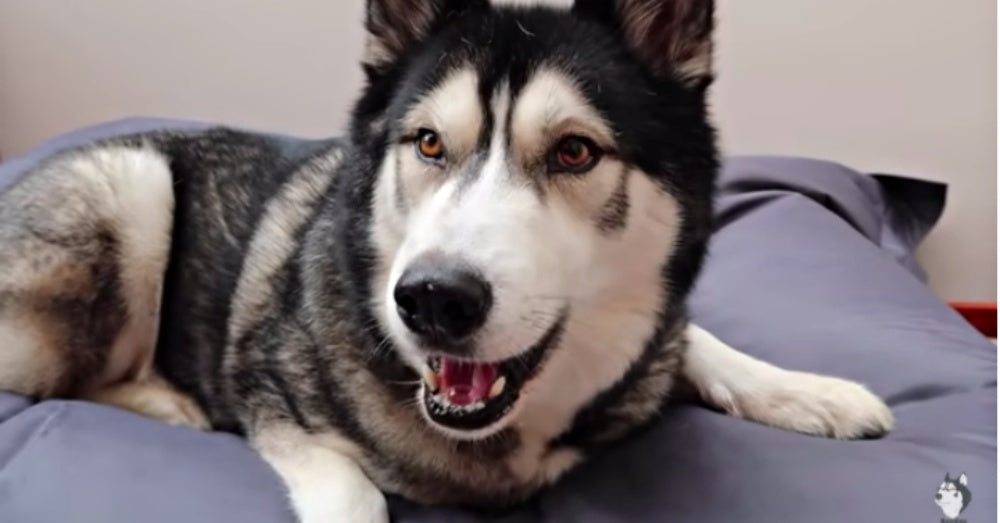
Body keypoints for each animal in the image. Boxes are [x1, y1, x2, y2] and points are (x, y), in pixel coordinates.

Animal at [0, 1, 892, 523]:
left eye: (575, 151)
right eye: (429, 142)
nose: (431, 299)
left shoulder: (655, 337)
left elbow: (696, 339)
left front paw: (811, 392)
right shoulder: (269, 391)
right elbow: (351, 491)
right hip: (132, 186)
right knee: (53, 379)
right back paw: (163, 398)